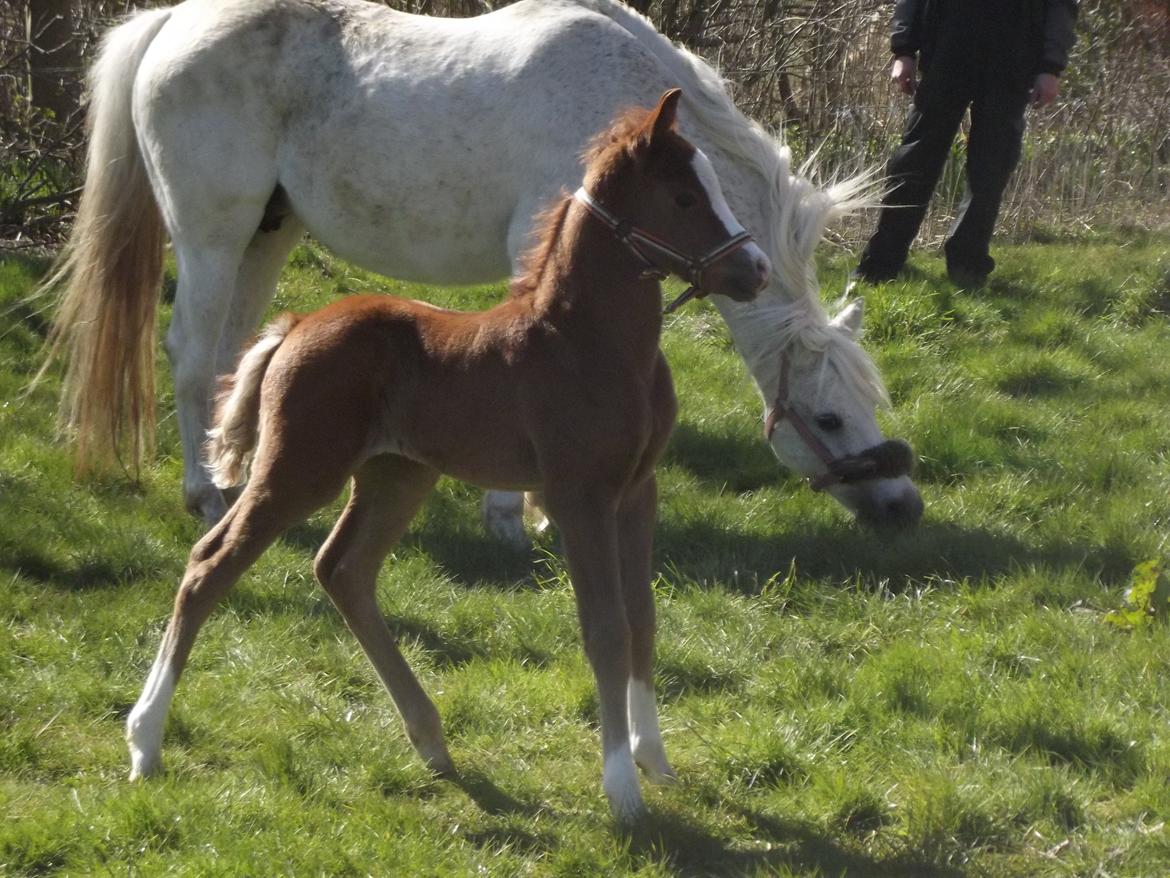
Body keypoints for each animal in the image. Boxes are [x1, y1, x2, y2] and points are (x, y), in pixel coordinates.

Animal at [44, 0, 922, 539]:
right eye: (831, 419)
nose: (903, 504)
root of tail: (172, 22)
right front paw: (510, 515)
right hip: (212, 235)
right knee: (192, 354)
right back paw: (205, 490)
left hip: (267, 236)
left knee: (234, 354)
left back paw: (242, 468)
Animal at [126, 90, 772, 822]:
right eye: (685, 197)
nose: (755, 270)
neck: (591, 343)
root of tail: (293, 328)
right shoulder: (578, 495)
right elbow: (604, 629)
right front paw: (622, 790)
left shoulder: (638, 490)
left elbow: (643, 620)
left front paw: (655, 760)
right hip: (298, 471)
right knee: (210, 565)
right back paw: (145, 742)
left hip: (397, 476)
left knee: (343, 570)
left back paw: (431, 739)